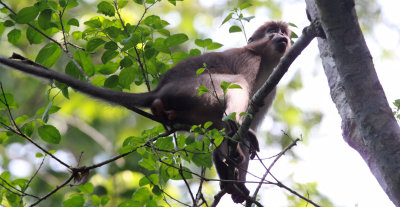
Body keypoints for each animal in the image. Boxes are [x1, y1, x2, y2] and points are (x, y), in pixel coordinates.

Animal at [0, 21, 290, 204]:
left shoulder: (271, 88)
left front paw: (236, 185)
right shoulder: (249, 60)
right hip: (191, 88)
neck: (267, 63)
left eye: (282, 31)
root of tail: (160, 89)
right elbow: (239, 103)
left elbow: (238, 137)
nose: (282, 37)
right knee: (233, 87)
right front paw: (237, 144)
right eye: (271, 31)